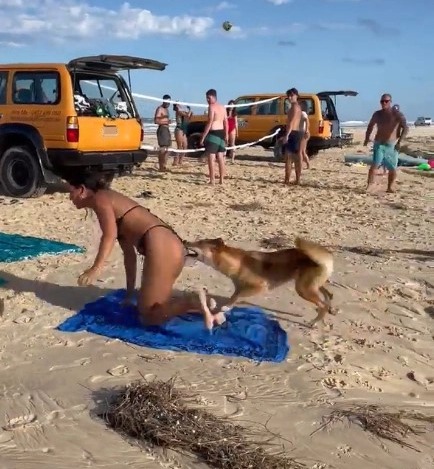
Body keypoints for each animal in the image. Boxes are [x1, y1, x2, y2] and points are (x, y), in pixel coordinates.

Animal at [185, 236, 334, 328]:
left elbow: (236, 297)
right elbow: (234, 296)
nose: (185, 240)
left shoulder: (260, 287)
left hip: (303, 289)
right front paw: (227, 306)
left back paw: (314, 321)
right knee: (328, 294)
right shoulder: (239, 286)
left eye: (198, 243)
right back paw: (329, 307)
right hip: (310, 285)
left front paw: (226, 307)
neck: (238, 264)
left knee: (322, 304)